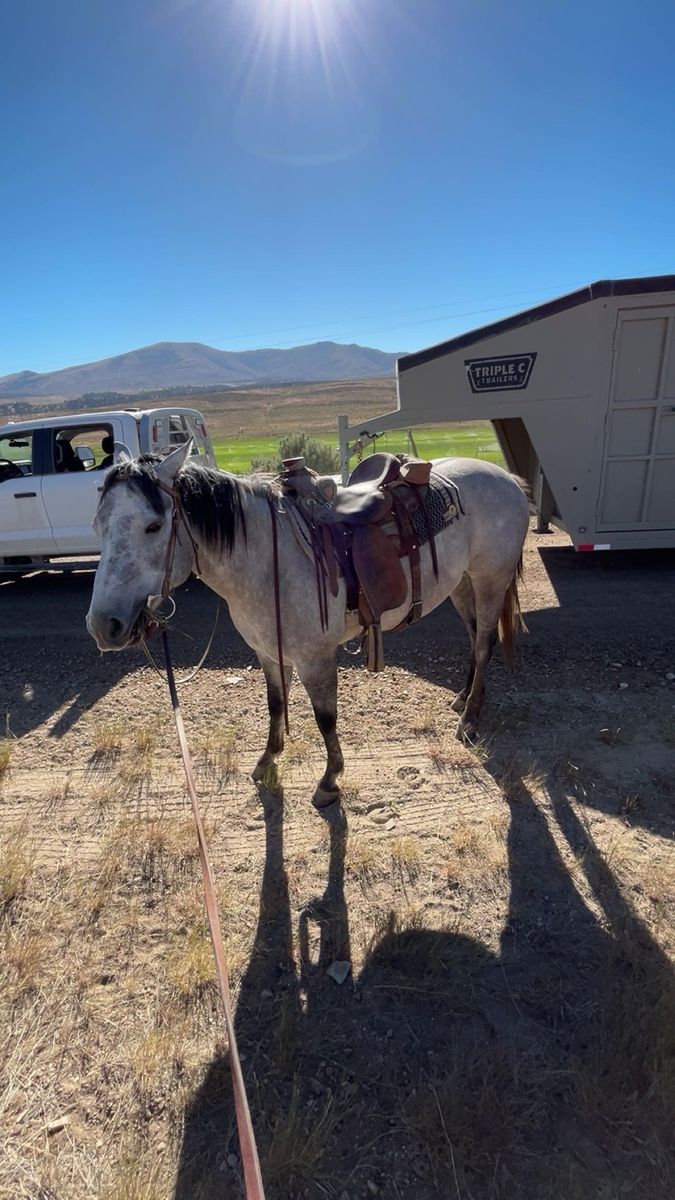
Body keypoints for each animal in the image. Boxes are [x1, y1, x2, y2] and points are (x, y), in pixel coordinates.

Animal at [86, 442, 529, 808]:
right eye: (97, 526)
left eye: (153, 526)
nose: (103, 626)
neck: (265, 558)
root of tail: (507, 478)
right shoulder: (268, 652)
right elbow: (275, 704)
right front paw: (267, 760)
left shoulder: (314, 657)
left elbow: (325, 718)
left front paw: (330, 780)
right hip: (462, 582)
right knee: (473, 636)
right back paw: (464, 698)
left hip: (490, 580)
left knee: (484, 642)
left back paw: (469, 719)